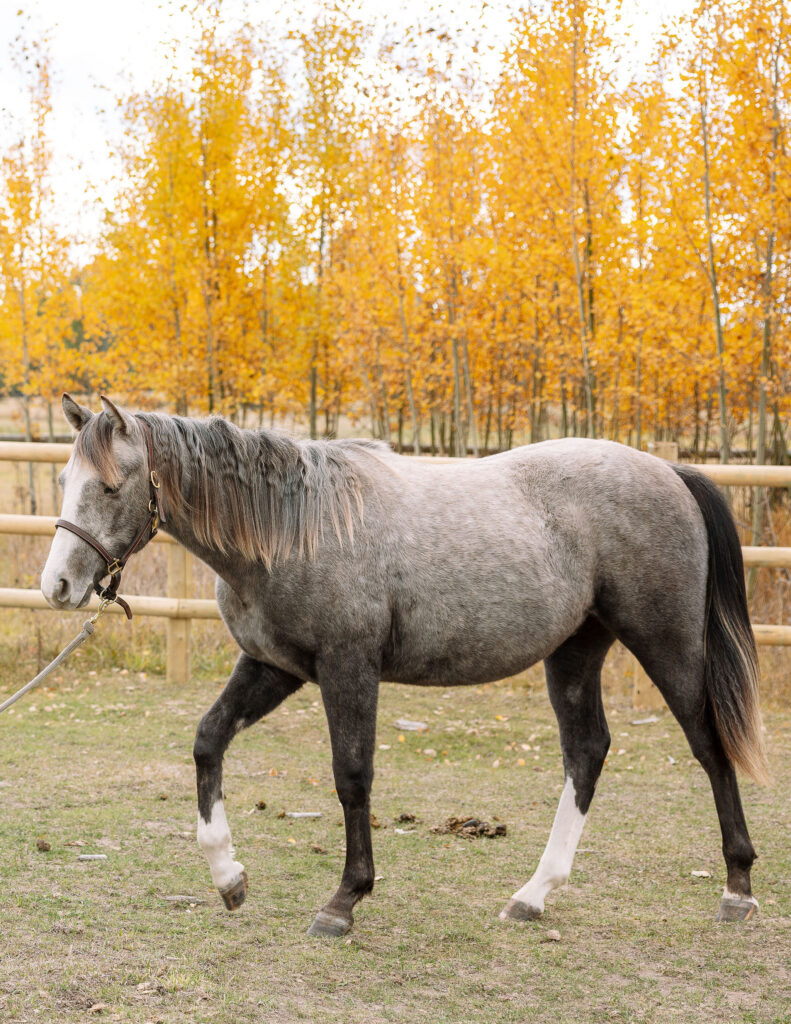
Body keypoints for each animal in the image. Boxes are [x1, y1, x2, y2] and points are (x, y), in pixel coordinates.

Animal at [40, 393, 768, 936]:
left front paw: (343, 901)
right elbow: (207, 741)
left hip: (667, 644)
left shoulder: (347, 668)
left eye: (110, 485)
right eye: (64, 481)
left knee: (708, 746)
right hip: (574, 652)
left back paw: (736, 888)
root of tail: (669, 473)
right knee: (586, 752)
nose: (57, 587)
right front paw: (229, 877)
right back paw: (533, 894)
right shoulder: (274, 667)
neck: (295, 527)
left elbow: (352, 776)